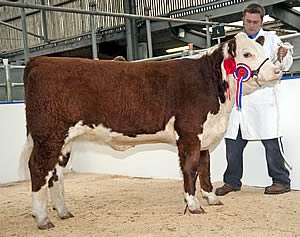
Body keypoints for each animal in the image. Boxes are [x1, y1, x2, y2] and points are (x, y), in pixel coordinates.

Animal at [20, 32, 282, 229]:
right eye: (247, 54)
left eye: (264, 52)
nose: (277, 71)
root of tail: (40, 61)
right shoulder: (189, 134)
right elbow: (190, 169)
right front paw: (193, 205)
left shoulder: (204, 136)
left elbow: (205, 170)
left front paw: (212, 198)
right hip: (49, 135)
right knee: (38, 169)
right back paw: (42, 218)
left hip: (63, 141)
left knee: (55, 174)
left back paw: (63, 211)